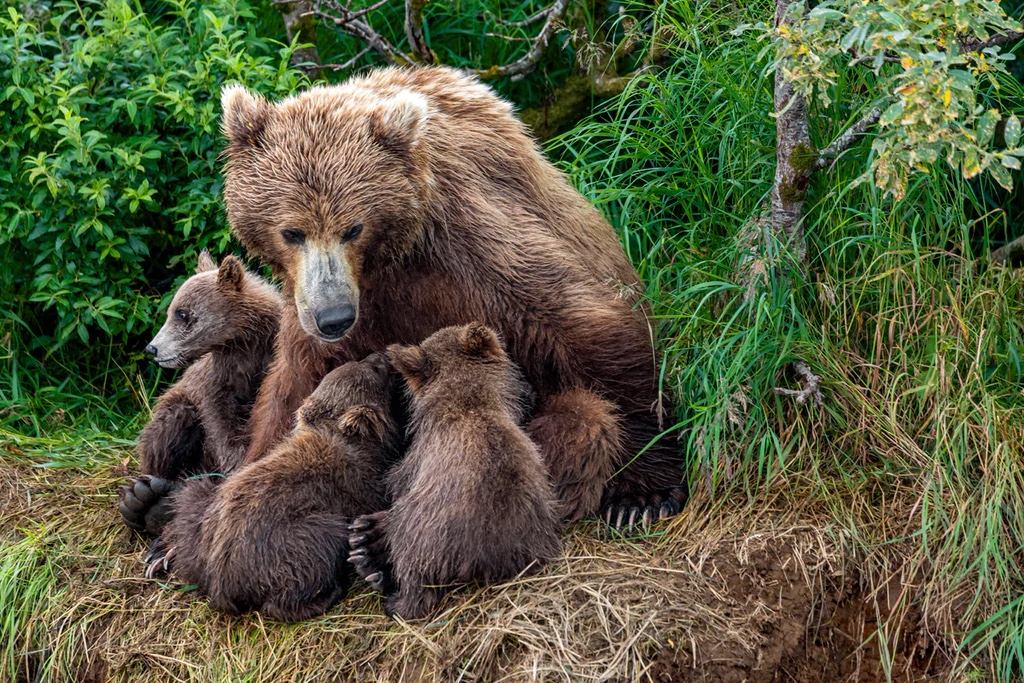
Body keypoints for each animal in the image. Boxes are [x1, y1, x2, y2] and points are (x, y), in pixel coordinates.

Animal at [119, 252, 282, 536]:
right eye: (171, 311)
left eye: (182, 313)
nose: (152, 348)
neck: (244, 344)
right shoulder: (217, 382)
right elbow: (220, 425)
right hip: (178, 410)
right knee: (169, 429)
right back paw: (147, 497)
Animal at [144, 353, 400, 622]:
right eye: (374, 369)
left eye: (367, 364)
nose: (381, 356)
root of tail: (222, 581)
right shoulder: (360, 483)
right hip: (297, 538)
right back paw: (328, 593)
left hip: (203, 522)